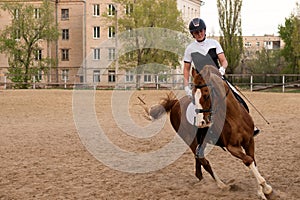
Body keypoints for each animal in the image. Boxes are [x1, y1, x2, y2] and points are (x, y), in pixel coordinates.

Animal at [146, 65, 276, 199]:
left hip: (201, 141)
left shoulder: (249, 141)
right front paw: (266, 188)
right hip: (189, 139)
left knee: (199, 158)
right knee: (203, 160)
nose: (201, 122)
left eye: (206, 95)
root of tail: (175, 103)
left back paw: (201, 178)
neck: (235, 117)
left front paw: (261, 190)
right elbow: (248, 160)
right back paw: (222, 185)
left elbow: (252, 160)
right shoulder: (232, 147)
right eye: (194, 96)